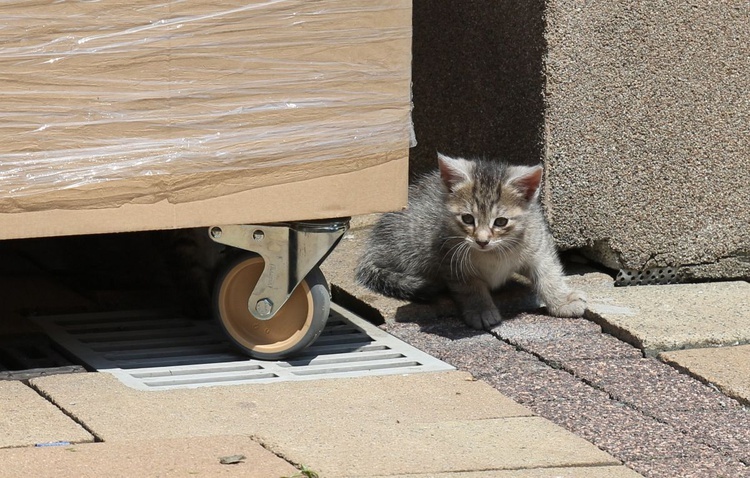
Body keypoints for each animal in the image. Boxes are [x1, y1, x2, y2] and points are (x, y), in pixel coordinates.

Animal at [356, 152, 588, 328]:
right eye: (468, 219)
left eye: (501, 222)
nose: (482, 240)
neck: (494, 253)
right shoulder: (450, 258)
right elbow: (470, 287)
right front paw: (480, 310)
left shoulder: (538, 242)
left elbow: (549, 273)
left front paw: (562, 300)